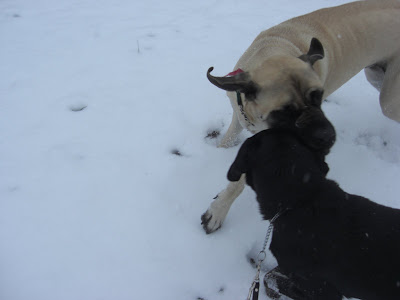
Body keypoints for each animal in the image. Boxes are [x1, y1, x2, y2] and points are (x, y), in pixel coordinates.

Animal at [202, 0, 400, 233]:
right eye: (285, 111)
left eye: (319, 96)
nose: (328, 136)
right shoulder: (239, 114)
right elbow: (229, 137)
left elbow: (239, 179)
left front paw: (218, 211)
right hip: (376, 76)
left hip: (389, 101)